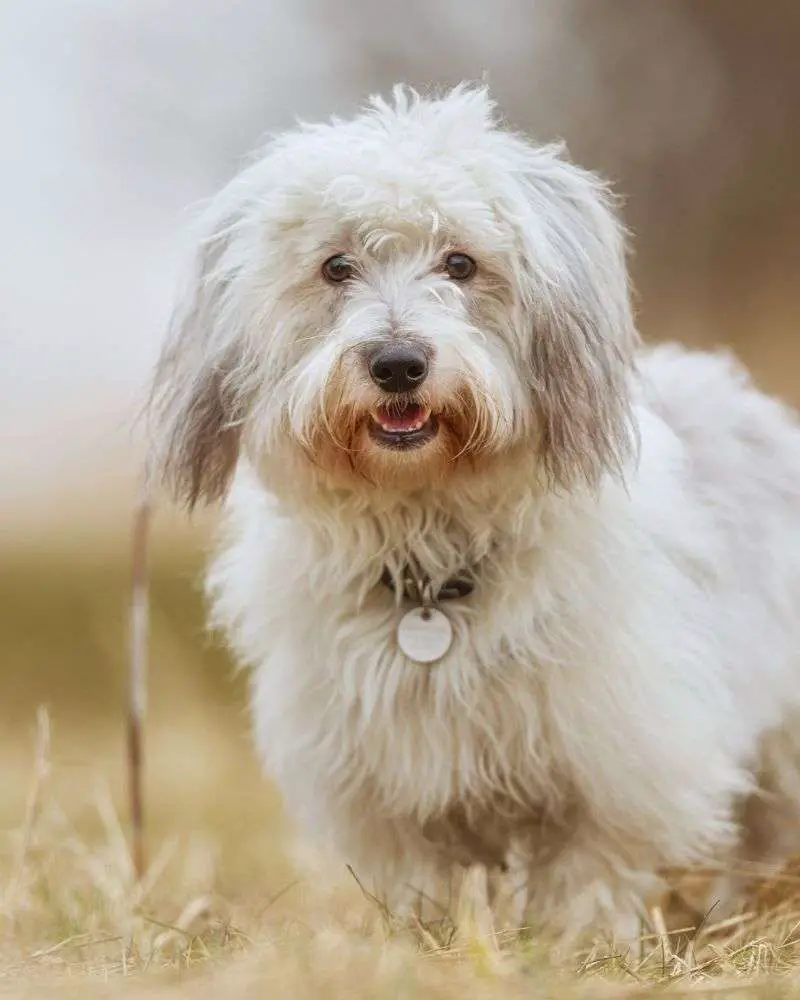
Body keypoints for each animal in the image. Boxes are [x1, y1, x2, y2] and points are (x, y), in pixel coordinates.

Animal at [147, 86, 800, 944]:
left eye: (460, 263)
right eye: (336, 267)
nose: (397, 363)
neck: (432, 553)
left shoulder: (619, 755)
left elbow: (590, 871)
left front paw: (576, 947)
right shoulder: (384, 787)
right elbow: (420, 882)